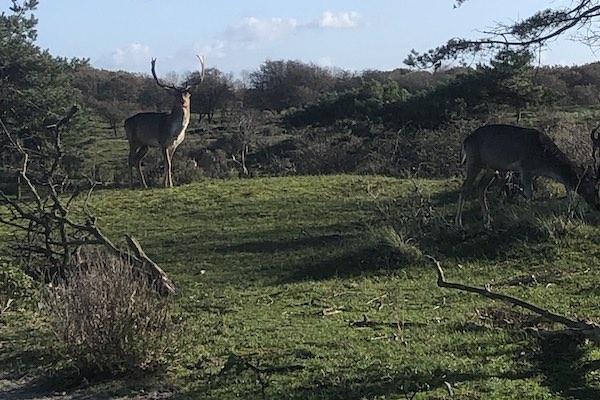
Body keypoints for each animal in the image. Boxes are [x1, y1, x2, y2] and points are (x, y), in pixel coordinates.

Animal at [123, 54, 205, 189]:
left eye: (187, 93)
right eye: (175, 94)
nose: (182, 101)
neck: (175, 133)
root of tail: (125, 122)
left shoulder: (174, 145)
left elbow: (169, 163)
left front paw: (166, 183)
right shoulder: (162, 142)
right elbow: (168, 163)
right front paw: (169, 184)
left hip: (145, 144)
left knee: (137, 160)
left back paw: (144, 185)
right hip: (132, 139)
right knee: (130, 159)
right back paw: (131, 185)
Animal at [454, 123, 600, 228]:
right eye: (593, 188)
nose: (596, 206)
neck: (543, 160)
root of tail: (466, 141)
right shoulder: (525, 168)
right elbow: (529, 195)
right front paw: (530, 217)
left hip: (491, 168)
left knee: (481, 187)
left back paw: (487, 222)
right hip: (474, 161)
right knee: (464, 188)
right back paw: (459, 223)